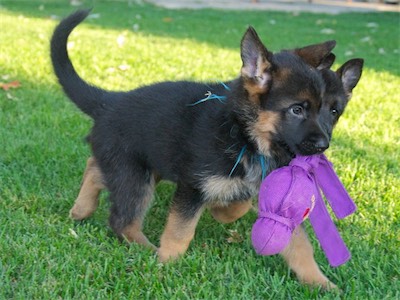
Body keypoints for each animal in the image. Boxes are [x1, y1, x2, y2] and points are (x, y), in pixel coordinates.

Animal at [50, 10, 362, 290]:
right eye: (297, 110)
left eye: (332, 112)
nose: (322, 146)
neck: (243, 134)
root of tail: (110, 102)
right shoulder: (193, 186)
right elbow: (181, 231)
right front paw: (167, 264)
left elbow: (298, 245)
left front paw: (320, 283)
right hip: (134, 176)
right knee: (122, 221)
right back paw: (147, 250)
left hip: (148, 165)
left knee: (95, 167)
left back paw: (81, 208)